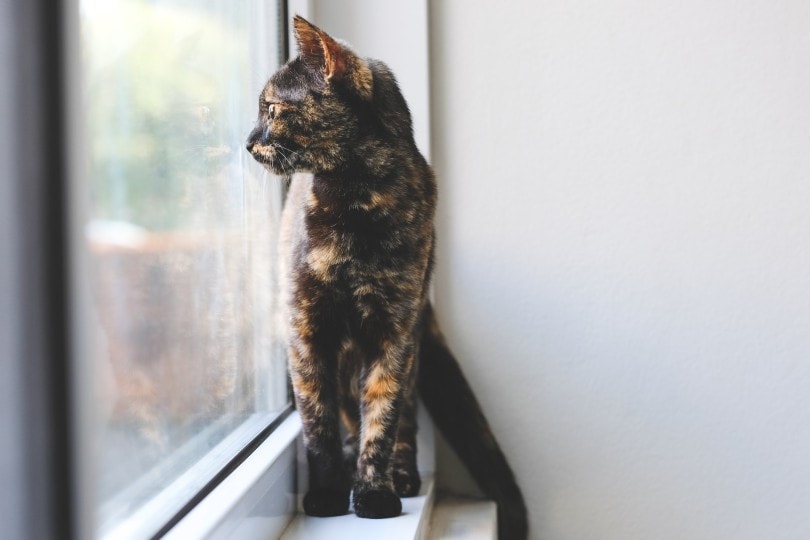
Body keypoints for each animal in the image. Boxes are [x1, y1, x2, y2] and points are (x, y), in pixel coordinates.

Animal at [243, 14, 528, 536]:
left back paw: (403, 476)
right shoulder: (306, 329)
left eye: (271, 108)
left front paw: (375, 492)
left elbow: (384, 412)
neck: (356, 198)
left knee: (406, 414)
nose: (248, 142)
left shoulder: (393, 331)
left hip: (409, 338)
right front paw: (329, 493)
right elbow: (317, 422)